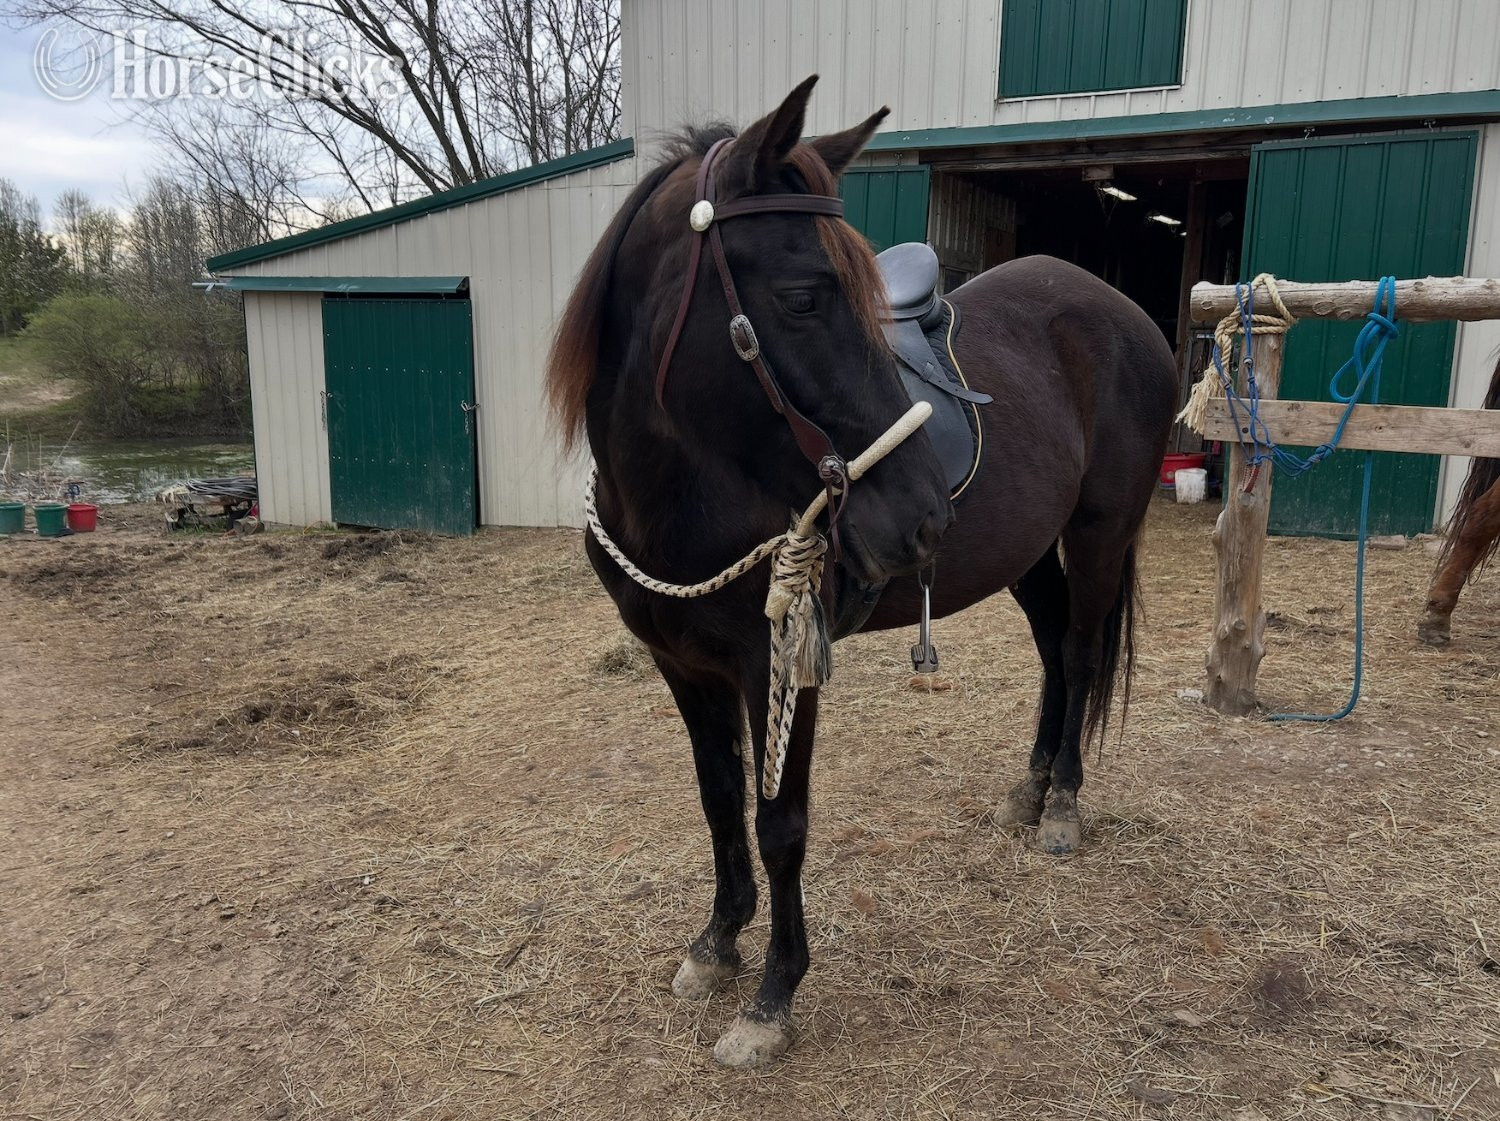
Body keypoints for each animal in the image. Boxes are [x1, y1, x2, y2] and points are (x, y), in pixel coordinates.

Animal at [546, 76, 1179, 1067]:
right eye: (803, 298)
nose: (924, 516)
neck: (683, 489)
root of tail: (1122, 312)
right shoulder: (682, 665)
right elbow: (720, 800)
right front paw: (716, 944)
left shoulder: (778, 662)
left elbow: (779, 823)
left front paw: (771, 996)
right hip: (1028, 555)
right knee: (1051, 655)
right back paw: (1029, 792)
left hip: (1100, 533)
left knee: (1078, 657)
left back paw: (1064, 807)